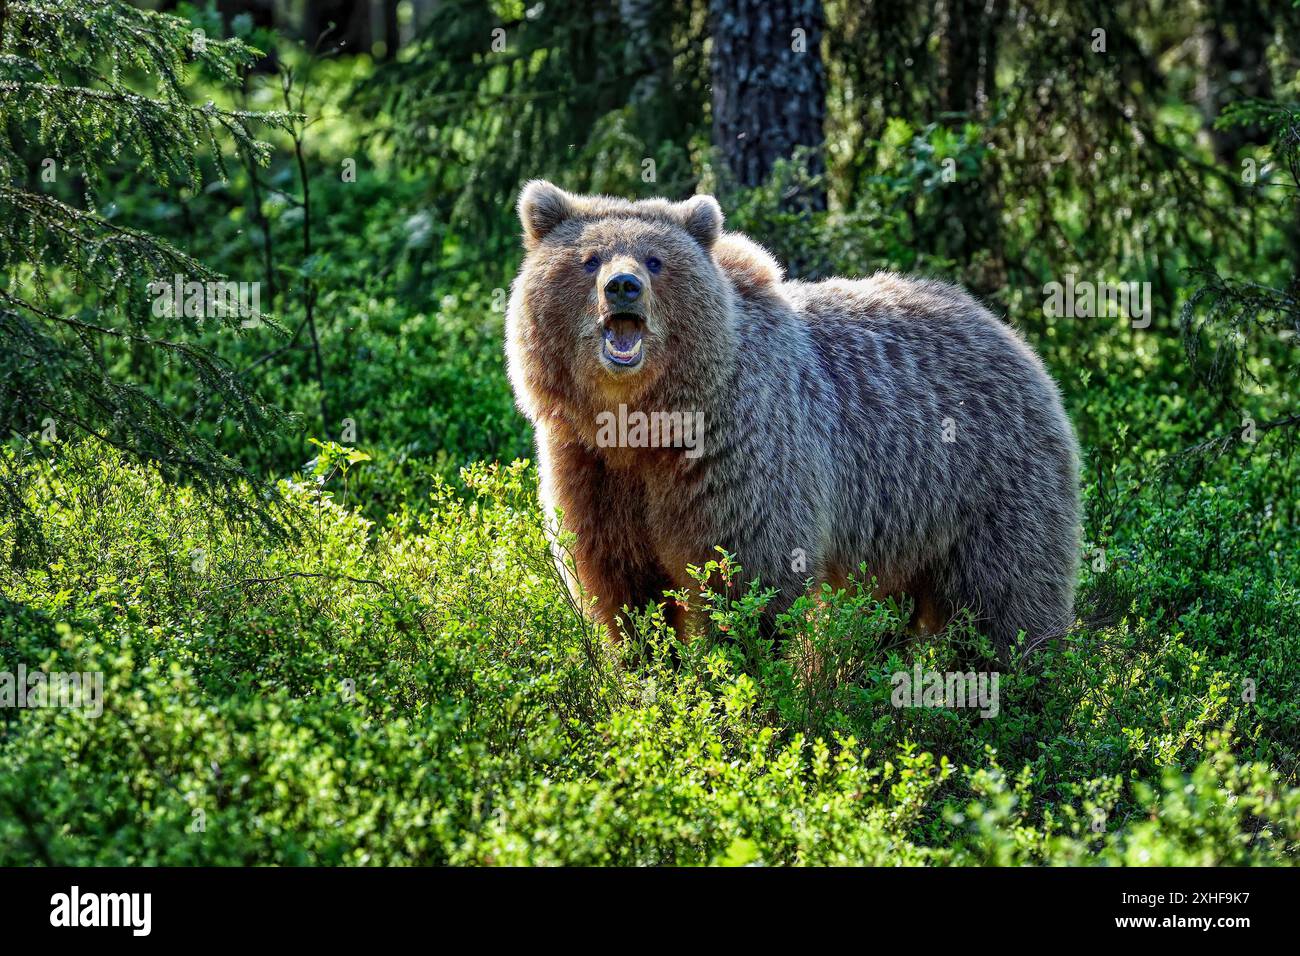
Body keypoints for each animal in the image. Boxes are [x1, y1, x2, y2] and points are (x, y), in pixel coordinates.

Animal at [505, 179, 1081, 657]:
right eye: (589, 259)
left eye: (654, 260)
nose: (622, 285)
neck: (642, 425)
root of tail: (1010, 334)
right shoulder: (590, 467)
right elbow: (622, 589)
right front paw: (645, 669)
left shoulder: (736, 457)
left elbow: (749, 582)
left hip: (990, 487)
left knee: (1006, 600)